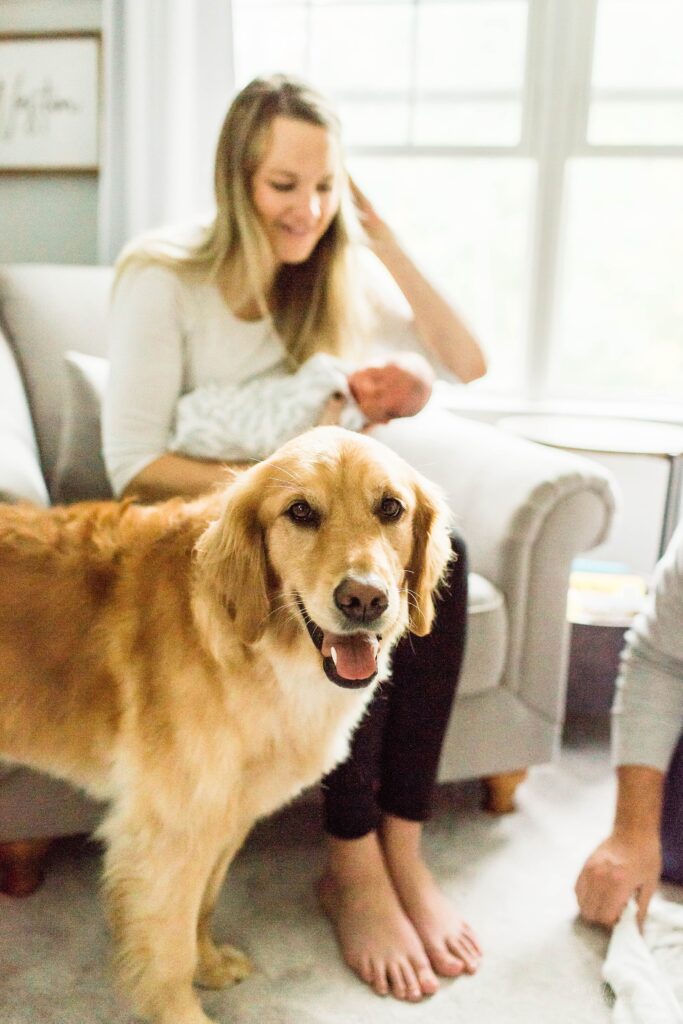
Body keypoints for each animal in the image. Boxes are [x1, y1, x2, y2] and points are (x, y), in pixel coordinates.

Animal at [0, 425, 454, 1024]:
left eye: (391, 508)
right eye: (301, 511)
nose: (364, 599)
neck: (257, 651)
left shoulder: (226, 813)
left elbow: (203, 906)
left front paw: (210, 965)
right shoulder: (170, 828)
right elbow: (167, 948)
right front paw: (182, 1008)